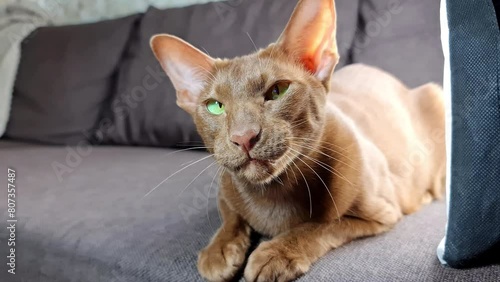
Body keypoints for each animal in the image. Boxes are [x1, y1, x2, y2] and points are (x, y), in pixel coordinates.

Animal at [149, 0, 446, 280]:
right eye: (215, 106)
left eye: (277, 91)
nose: (244, 137)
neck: (273, 194)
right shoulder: (225, 186)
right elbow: (231, 216)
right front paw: (218, 251)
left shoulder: (380, 213)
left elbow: (323, 225)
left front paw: (277, 252)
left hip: (436, 96)